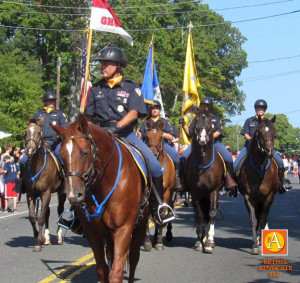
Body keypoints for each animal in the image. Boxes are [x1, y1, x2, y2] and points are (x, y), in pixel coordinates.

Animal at [22, 118, 65, 252]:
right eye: (25, 132)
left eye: (38, 132)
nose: (30, 150)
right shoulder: (31, 194)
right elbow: (32, 217)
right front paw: (38, 236)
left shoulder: (46, 193)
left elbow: (40, 217)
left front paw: (38, 242)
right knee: (47, 212)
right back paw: (46, 238)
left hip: (61, 192)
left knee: (60, 210)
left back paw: (59, 237)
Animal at [52, 114, 150, 282]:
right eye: (62, 155)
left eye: (85, 153)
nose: (73, 195)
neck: (104, 184)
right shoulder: (93, 232)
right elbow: (102, 270)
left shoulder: (123, 229)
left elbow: (116, 272)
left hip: (140, 225)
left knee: (133, 258)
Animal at [185, 110, 225, 254]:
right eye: (196, 121)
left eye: (210, 123)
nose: (202, 139)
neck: (203, 165)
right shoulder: (195, 193)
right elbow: (200, 216)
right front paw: (198, 241)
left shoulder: (214, 191)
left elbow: (212, 213)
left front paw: (209, 242)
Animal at [238, 115, 280, 255]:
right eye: (259, 133)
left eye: (274, 132)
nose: (269, 151)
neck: (260, 168)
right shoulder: (248, 197)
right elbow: (253, 220)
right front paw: (255, 245)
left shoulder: (269, 196)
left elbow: (262, 219)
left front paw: (259, 243)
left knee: (263, 218)